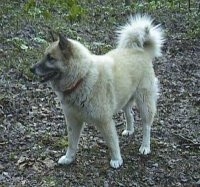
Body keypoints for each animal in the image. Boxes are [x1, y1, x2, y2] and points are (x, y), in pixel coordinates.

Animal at [30, 15, 164, 169]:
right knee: (129, 114)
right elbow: (72, 144)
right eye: (44, 56)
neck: (81, 78)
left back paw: (145, 146)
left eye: (50, 58)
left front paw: (117, 159)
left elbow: (112, 143)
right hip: (125, 99)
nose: (31, 69)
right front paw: (69, 158)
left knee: (147, 126)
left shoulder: (104, 121)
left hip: (144, 102)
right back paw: (130, 130)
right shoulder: (73, 120)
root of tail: (140, 51)